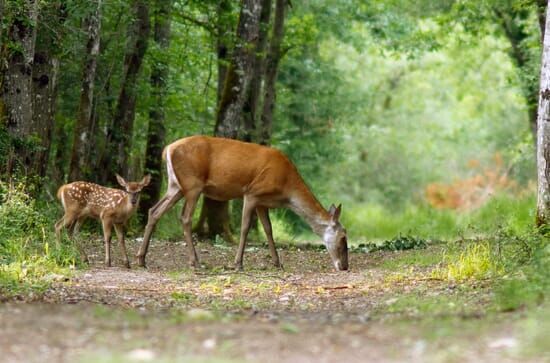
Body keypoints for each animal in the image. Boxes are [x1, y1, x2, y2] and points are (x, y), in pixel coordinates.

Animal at [135, 137, 348, 272]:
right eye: (343, 238)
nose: (345, 266)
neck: (287, 189)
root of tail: (168, 149)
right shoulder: (252, 192)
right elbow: (245, 228)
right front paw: (237, 264)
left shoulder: (263, 202)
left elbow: (268, 229)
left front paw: (277, 263)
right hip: (193, 184)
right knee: (185, 218)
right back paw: (195, 262)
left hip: (176, 186)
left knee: (154, 211)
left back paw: (141, 259)